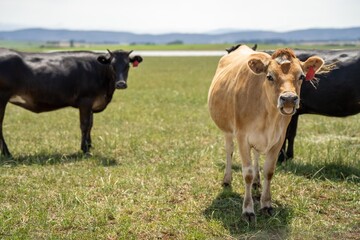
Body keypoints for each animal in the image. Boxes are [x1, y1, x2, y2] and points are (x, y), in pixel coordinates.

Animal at [0, 49, 143, 158]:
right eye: (112, 65)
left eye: (127, 65)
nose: (121, 84)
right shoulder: (85, 101)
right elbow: (85, 125)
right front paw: (85, 150)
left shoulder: (91, 105)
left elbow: (91, 124)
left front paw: (89, 146)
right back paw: (7, 154)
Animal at [207, 44, 324, 221]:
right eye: (269, 76)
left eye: (301, 76)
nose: (289, 99)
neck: (267, 115)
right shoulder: (242, 137)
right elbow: (247, 173)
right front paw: (248, 210)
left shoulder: (278, 140)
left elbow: (269, 171)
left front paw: (266, 204)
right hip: (227, 130)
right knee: (229, 151)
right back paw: (227, 179)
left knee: (256, 155)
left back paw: (257, 182)